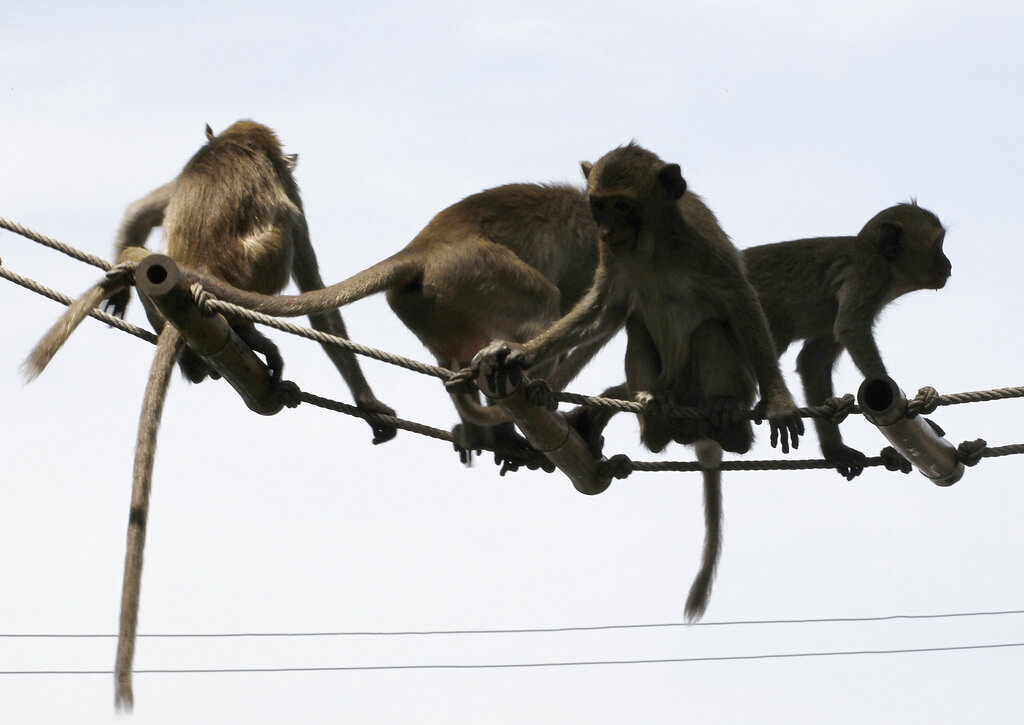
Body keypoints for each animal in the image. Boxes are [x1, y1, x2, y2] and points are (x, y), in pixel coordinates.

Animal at [25, 120, 395, 708]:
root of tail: (197, 274)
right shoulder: (289, 192)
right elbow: (317, 293)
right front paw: (368, 402)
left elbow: (144, 206)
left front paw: (119, 287)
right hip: (257, 260)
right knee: (287, 239)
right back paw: (245, 336)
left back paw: (187, 341)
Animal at [475, 144, 802, 618]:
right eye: (599, 205)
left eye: (623, 206)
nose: (608, 229)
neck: (654, 244)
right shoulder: (613, 257)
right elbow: (603, 310)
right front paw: (520, 353)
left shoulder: (705, 243)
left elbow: (741, 303)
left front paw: (778, 402)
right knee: (637, 326)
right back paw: (655, 413)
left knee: (710, 332)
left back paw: (728, 416)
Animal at [745, 200, 950, 479]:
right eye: (938, 244)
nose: (948, 263)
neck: (883, 259)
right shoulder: (870, 273)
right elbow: (850, 329)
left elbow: (813, 359)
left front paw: (834, 450)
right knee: (776, 323)